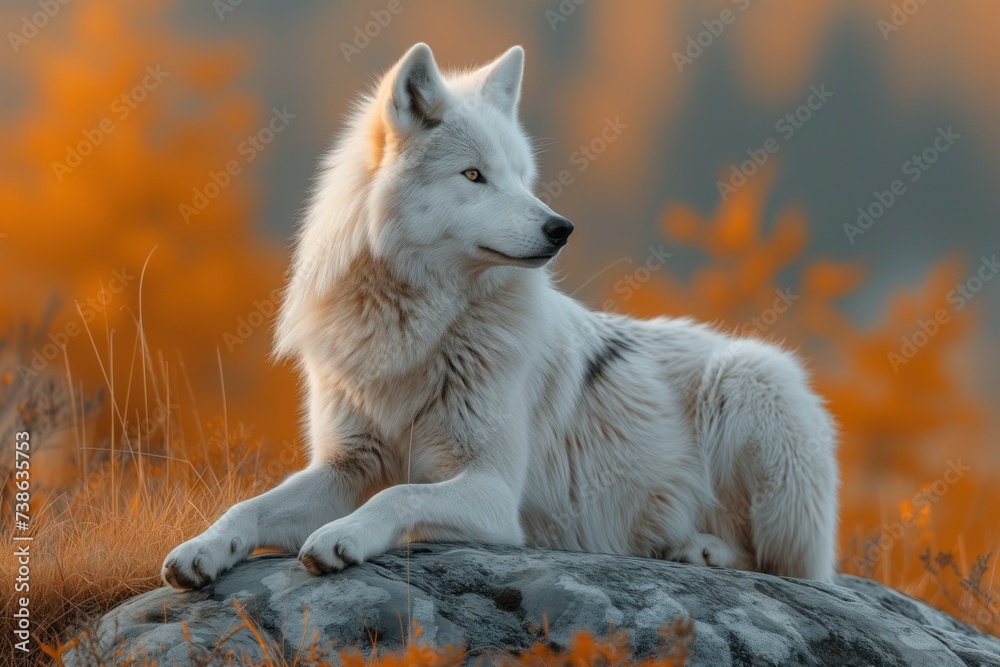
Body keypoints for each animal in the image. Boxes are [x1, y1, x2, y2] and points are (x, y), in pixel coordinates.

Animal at [162, 43, 839, 590]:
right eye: (474, 175)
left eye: (521, 175)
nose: (561, 228)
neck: (412, 332)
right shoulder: (344, 466)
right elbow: (248, 507)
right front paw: (202, 549)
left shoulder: (493, 494)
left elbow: (399, 495)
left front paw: (341, 537)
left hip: (752, 383)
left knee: (787, 566)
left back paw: (699, 549)